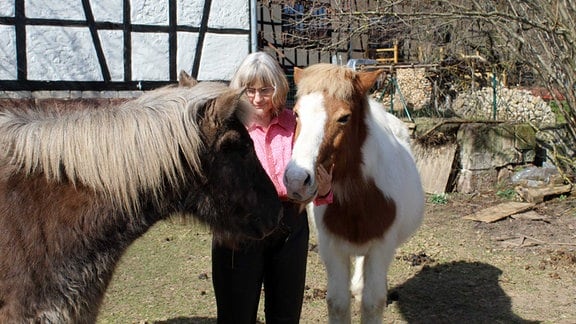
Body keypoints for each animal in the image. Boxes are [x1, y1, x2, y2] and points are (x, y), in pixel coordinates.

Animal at [284, 64, 424, 324]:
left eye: (344, 117)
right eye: (296, 114)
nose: (297, 180)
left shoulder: (381, 247)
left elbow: (372, 302)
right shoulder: (332, 247)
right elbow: (338, 302)